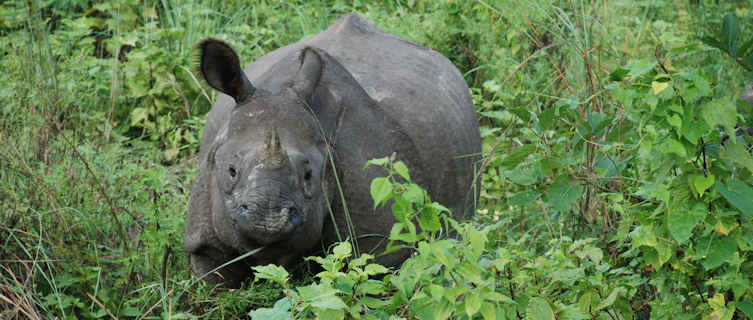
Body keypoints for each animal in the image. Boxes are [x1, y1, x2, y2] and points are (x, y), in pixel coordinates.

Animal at [182, 13, 478, 288]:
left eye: (309, 175)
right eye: (231, 171)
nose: (267, 219)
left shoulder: (384, 244)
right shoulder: (204, 238)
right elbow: (217, 280)